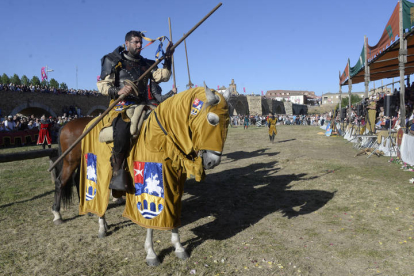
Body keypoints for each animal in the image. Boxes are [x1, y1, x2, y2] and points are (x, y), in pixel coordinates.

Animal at [50, 84, 231, 266]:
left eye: (228, 121)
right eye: (212, 120)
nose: (213, 161)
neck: (158, 138)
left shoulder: (173, 182)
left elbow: (172, 211)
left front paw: (179, 247)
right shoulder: (146, 181)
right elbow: (149, 217)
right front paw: (151, 253)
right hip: (82, 163)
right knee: (67, 184)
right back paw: (69, 217)